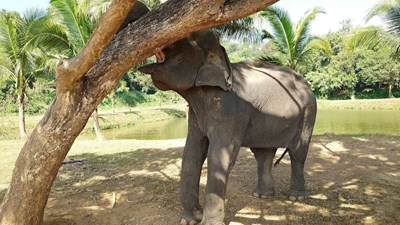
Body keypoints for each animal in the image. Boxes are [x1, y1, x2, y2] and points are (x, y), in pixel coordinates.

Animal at [139, 29, 318, 225]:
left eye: (181, 37)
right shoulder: (196, 113)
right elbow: (191, 154)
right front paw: (190, 220)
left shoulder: (230, 109)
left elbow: (219, 156)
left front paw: (207, 223)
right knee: (263, 154)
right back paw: (262, 196)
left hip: (308, 113)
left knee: (297, 152)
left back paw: (295, 197)